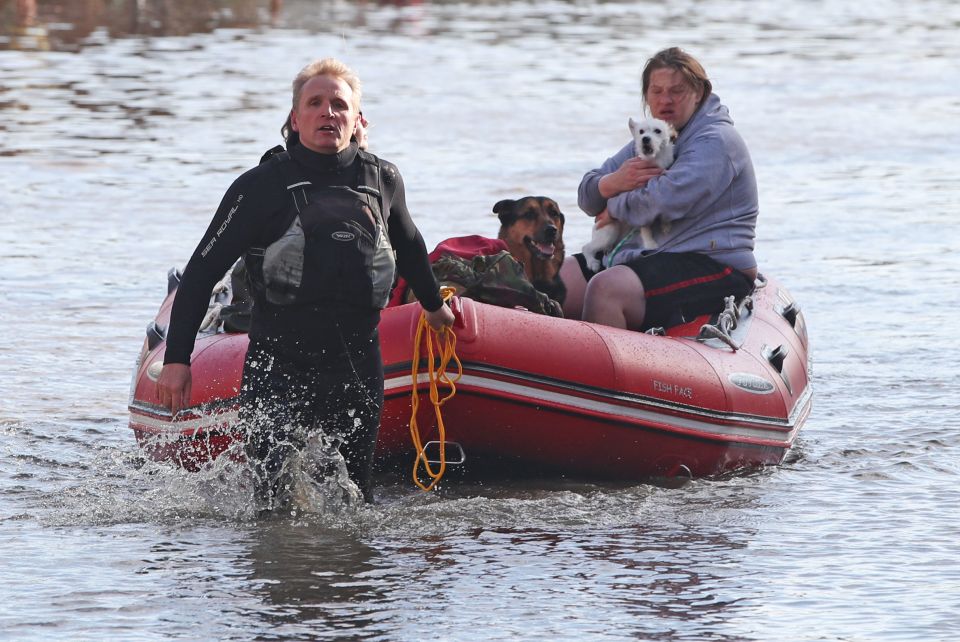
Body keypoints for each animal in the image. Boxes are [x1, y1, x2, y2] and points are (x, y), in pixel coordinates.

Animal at [576, 116, 676, 272]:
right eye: (641, 132)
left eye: (658, 131)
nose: (645, 139)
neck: (654, 160)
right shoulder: (641, 204)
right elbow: (646, 228)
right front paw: (650, 244)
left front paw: (666, 224)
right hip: (609, 231)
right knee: (586, 247)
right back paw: (592, 262)